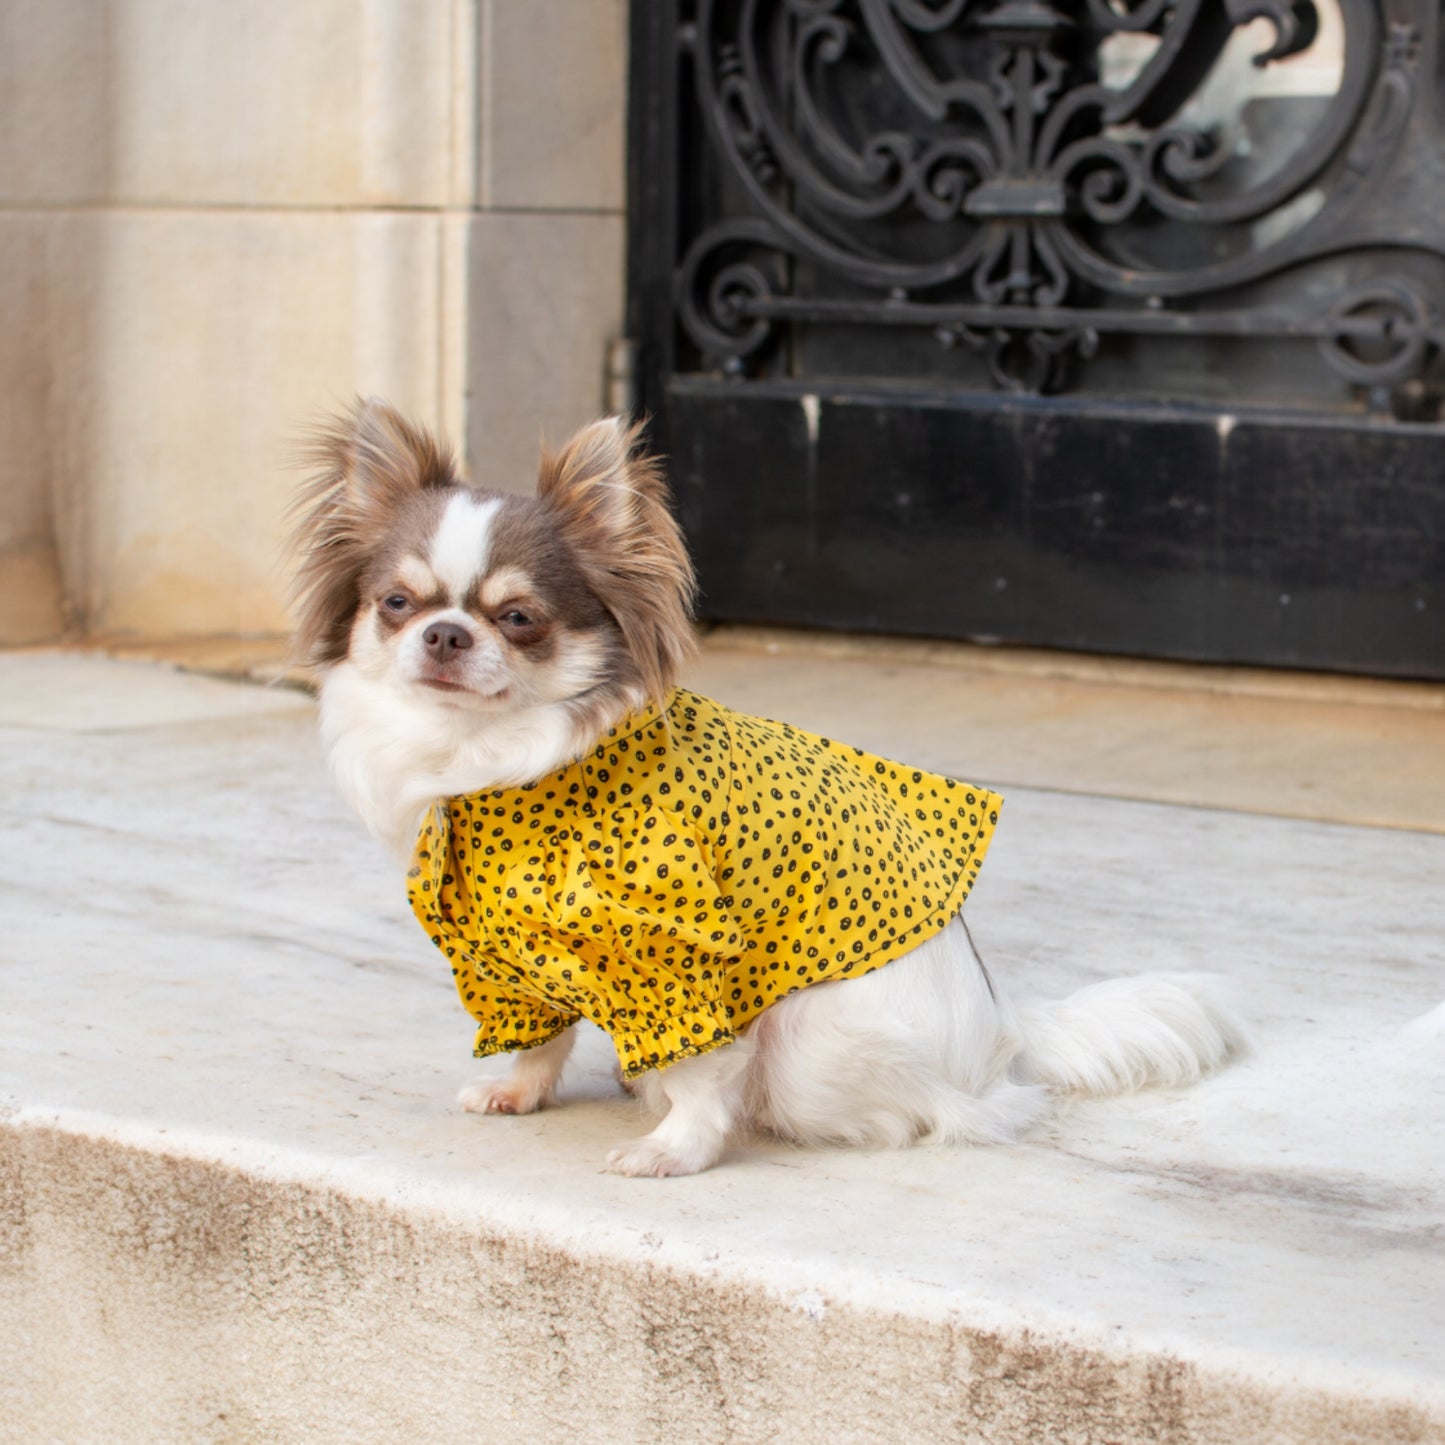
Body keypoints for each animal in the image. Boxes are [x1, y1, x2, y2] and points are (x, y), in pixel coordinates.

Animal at [290, 395, 1242, 1173]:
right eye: (396, 604)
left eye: (519, 619)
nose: (446, 634)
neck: (495, 762)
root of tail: (1003, 1032)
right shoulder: (507, 961)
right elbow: (537, 1037)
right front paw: (518, 1091)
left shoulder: (676, 956)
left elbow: (702, 1067)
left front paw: (678, 1148)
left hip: (812, 1038)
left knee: (937, 1113)